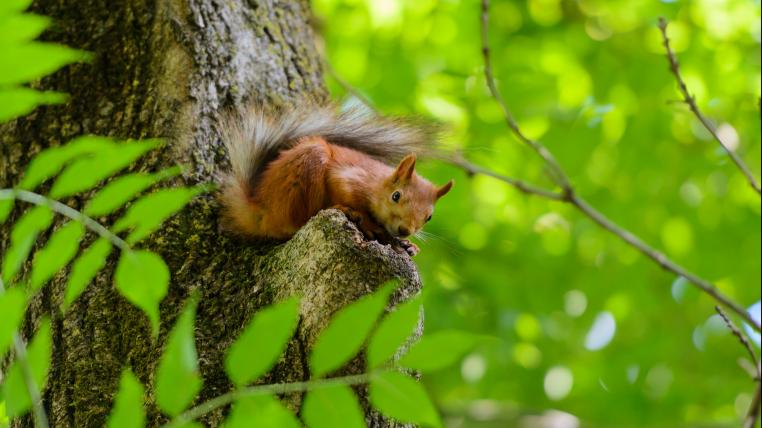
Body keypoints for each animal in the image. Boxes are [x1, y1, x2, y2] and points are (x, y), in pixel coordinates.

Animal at [218, 105, 453, 256]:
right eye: (396, 196)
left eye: (429, 217)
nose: (405, 230)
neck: (377, 184)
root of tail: (260, 209)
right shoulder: (348, 178)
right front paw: (369, 222)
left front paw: (407, 245)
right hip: (304, 175)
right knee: (296, 222)